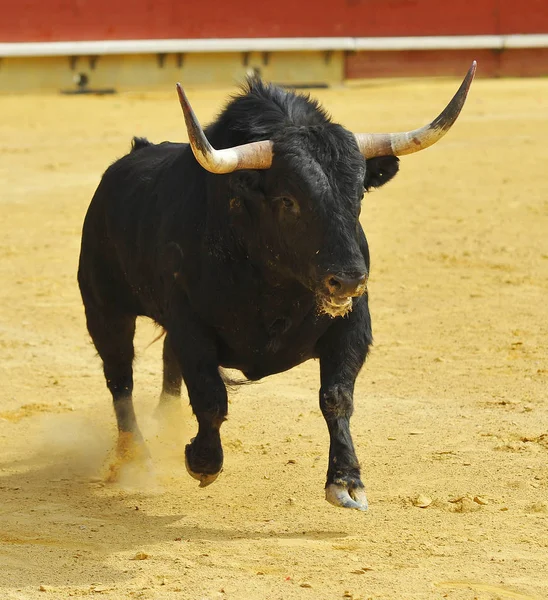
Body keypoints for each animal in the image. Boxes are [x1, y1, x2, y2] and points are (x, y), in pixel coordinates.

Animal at [77, 67, 476, 510]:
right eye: (288, 200)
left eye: (358, 193)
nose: (349, 279)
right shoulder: (190, 326)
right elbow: (211, 397)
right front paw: (202, 462)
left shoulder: (353, 325)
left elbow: (337, 395)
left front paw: (347, 480)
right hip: (104, 309)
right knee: (120, 380)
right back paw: (139, 457)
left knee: (164, 364)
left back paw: (166, 425)